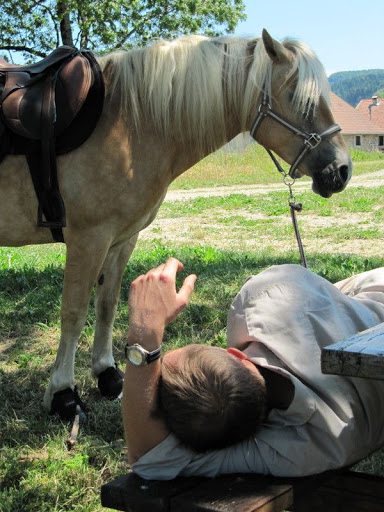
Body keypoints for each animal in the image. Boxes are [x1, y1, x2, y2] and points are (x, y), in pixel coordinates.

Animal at [0, 29, 352, 420]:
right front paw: (63, 393)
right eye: (299, 98)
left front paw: (107, 375)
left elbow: (106, 305)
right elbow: (73, 313)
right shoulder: (88, 239)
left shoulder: (121, 239)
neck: (128, 124)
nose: (342, 170)